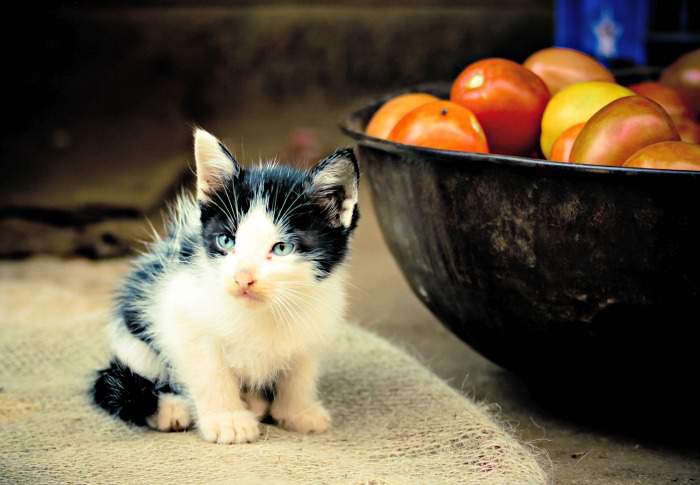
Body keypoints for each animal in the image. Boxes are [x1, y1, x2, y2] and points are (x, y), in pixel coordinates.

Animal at [90, 129, 358, 442]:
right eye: (227, 241)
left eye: (282, 248)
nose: (242, 278)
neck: (264, 313)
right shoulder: (182, 308)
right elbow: (209, 370)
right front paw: (227, 420)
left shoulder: (315, 319)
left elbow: (300, 369)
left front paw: (298, 412)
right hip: (135, 331)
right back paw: (172, 409)